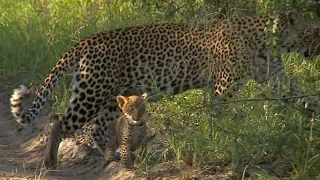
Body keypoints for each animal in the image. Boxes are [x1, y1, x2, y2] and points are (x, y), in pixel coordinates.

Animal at [10, 10, 320, 169]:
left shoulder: (277, 78)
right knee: (60, 122)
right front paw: (222, 141)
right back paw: (50, 162)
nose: (318, 48)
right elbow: (220, 116)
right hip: (92, 92)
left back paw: (112, 157)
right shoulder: (223, 86)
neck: (270, 42)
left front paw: (313, 123)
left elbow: (303, 98)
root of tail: (84, 42)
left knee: (96, 126)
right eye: (313, 32)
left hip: (112, 97)